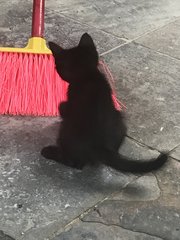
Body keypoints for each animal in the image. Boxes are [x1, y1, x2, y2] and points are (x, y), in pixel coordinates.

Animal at [41, 33, 168, 172]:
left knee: (76, 163)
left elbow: (62, 106)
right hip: (119, 119)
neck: (88, 76)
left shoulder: (69, 104)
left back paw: (49, 151)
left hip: (66, 131)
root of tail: (102, 147)